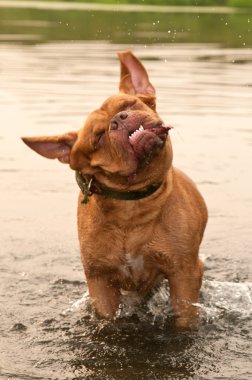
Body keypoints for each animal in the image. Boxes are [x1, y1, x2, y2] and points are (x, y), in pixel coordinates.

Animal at [22, 51, 207, 330]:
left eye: (128, 106)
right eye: (98, 137)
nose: (118, 120)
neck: (132, 207)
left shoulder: (184, 274)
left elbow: (184, 318)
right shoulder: (100, 282)